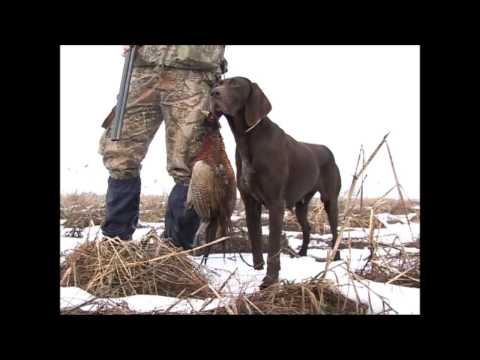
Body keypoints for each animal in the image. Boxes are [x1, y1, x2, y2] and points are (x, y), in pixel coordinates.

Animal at [210, 77, 342, 288]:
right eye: (218, 83)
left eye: (236, 84)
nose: (213, 93)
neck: (247, 139)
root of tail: (327, 150)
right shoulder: (250, 203)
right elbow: (255, 239)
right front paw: (257, 269)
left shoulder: (275, 203)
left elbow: (272, 244)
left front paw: (270, 280)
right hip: (301, 204)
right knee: (307, 227)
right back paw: (302, 253)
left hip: (330, 200)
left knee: (336, 230)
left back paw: (335, 257)